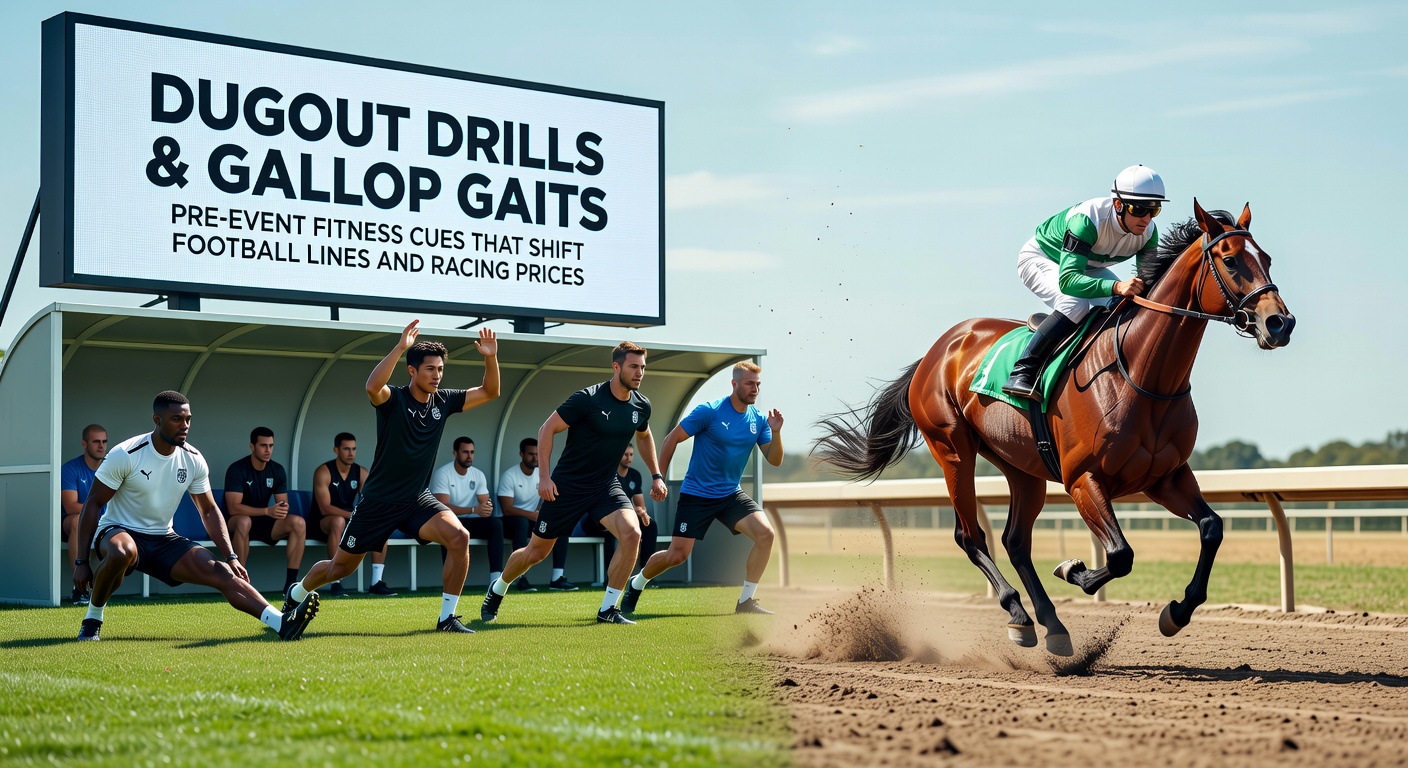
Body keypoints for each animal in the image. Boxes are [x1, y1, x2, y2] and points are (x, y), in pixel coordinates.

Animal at [814, 201, 1293, 655]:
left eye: (1267, 258)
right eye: (1230, 261)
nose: (1279, 323)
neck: (1140, 374)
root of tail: (938, 350)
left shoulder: (1165, 476)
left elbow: (1211, 528)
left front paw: (1175, 613)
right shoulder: (1083, 478)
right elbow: (1120, 555)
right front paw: (1073, 569)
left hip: (1021, 466)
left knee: (1014, 541)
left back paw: (1052, 627)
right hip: (951, 448)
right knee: (970, 535)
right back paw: (1018, 614)